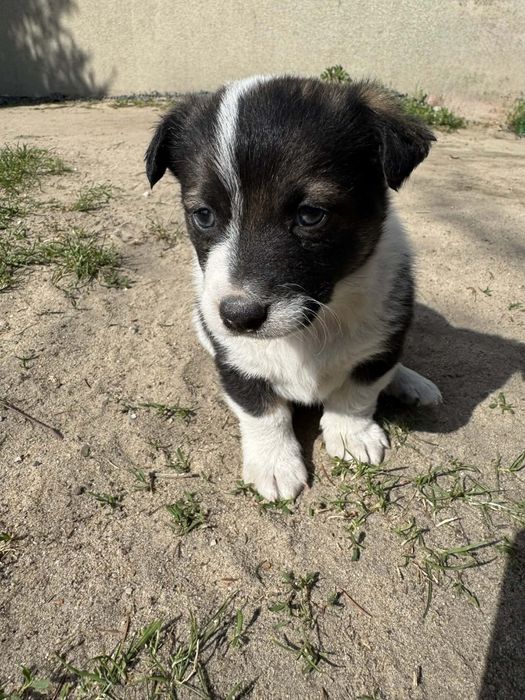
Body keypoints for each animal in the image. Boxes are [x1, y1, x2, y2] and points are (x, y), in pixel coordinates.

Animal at [145, 75, 442, 501]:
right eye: (203, 215)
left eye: (310, 214)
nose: (238, 317)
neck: (309, 331)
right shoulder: (235, 360)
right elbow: (262, 410)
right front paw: (274, 464)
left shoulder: (384, 338)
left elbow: (358, 390)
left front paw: (351, 435)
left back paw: (411, 383)